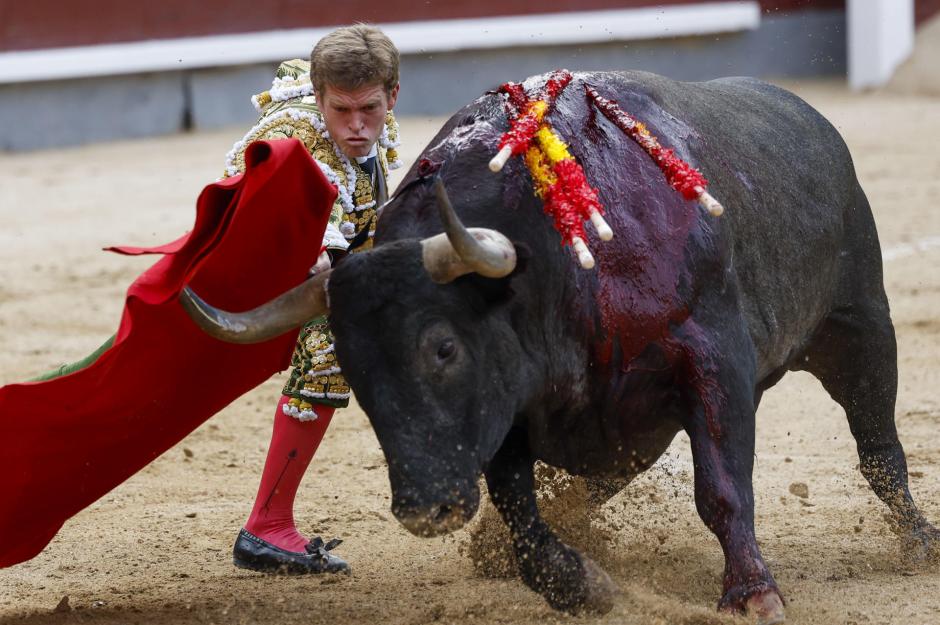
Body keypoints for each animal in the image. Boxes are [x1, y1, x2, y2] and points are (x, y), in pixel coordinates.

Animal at [180, 70, 936, 620]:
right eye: (359, 376)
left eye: (443, 349)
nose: (425, 509)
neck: (557, 261)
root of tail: (808, 116)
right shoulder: (513, 400)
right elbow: (519, 508)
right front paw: (580, 582)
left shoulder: (713, 361)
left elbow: (722, 488)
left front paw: (753, 593)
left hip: (860, 328)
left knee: (879, 447)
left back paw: (920, 541)